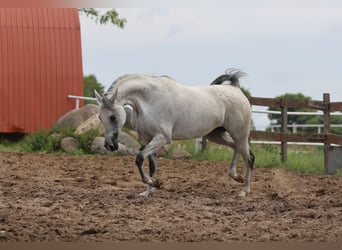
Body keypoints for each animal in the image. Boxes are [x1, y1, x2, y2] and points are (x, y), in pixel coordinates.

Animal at [93, 71, 254, 197]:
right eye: (100, 118)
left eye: (113, 117)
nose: (110, 146)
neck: (150, 99)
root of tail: (236, 89)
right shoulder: (149, 138)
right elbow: (152, 165)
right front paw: (150, 190)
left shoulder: (163, 138)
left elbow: (139, 158)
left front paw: (154, 184)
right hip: (215, 135)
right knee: (235, 148)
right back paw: (236, 176)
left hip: (240, 134)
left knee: (249, 158)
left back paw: (244, 191)